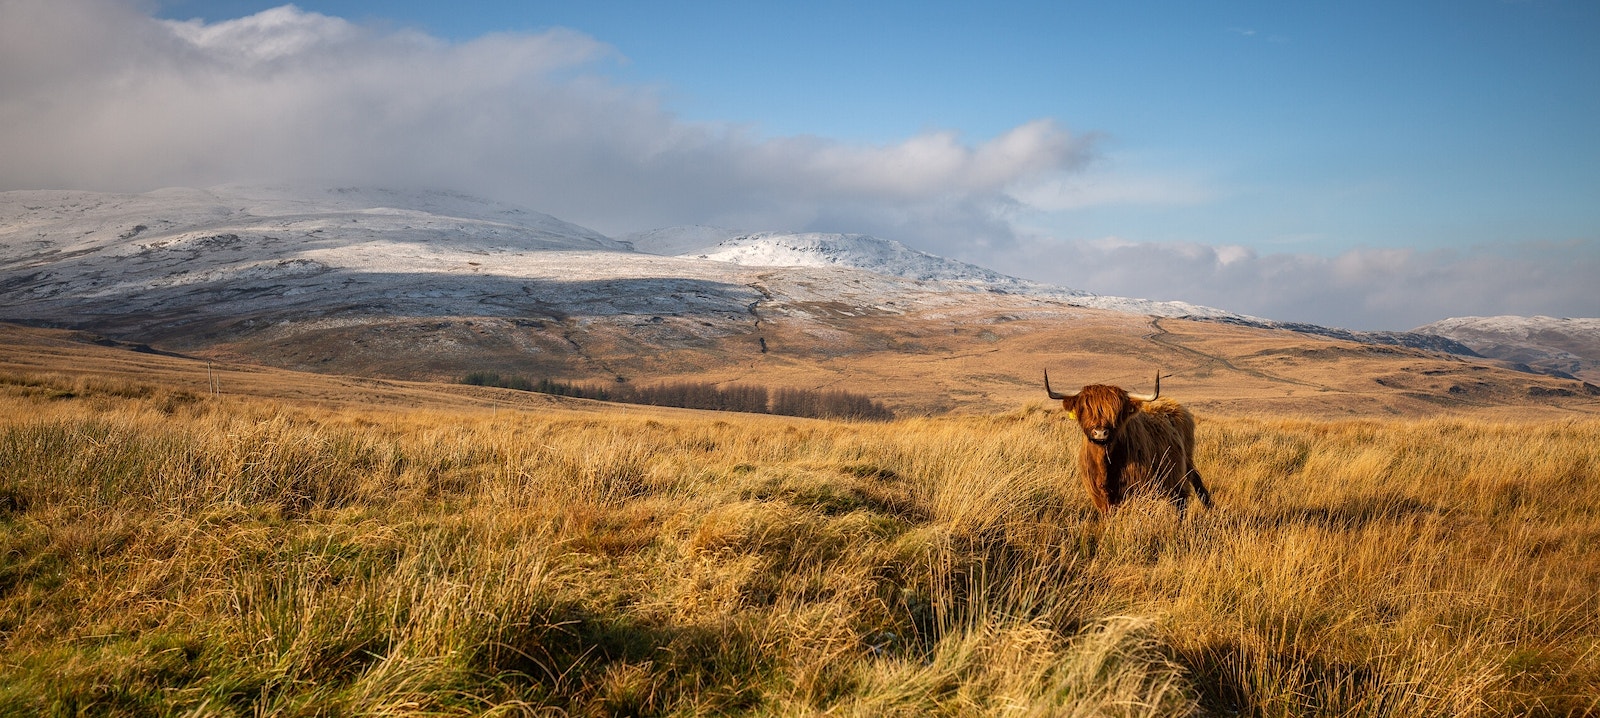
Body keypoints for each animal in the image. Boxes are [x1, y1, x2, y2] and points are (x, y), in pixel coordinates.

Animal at [1036, 372, 1209, 511]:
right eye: (1086, 409)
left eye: (1116, 412)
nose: (1100, 432)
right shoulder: (1100, 498)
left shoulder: (1137, 491)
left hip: (1182, 470)